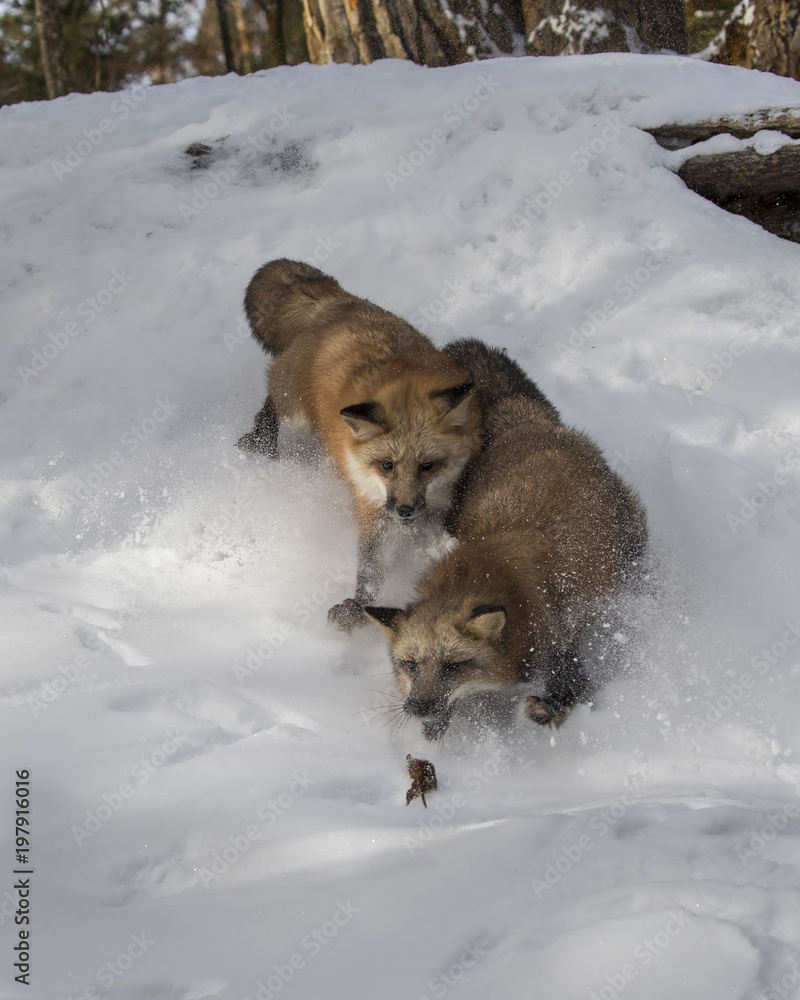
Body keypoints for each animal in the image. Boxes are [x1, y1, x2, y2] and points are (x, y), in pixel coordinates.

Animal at [237, 259, 482, 632]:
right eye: (386, 465)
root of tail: (338, 301)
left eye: (428, 466)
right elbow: (369, 566)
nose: (404, 510)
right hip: (297, 413)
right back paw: (262, 439)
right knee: (273, 398)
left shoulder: (439, 501)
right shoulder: (371, 504)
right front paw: (359, 606)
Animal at [364, 347, 647, 740]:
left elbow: (574, 689)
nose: (418, 710)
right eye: (411, 665)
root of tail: (526, 422)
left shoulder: (561, 644)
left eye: (453, 666)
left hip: (633, 536)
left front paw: (546, 710)